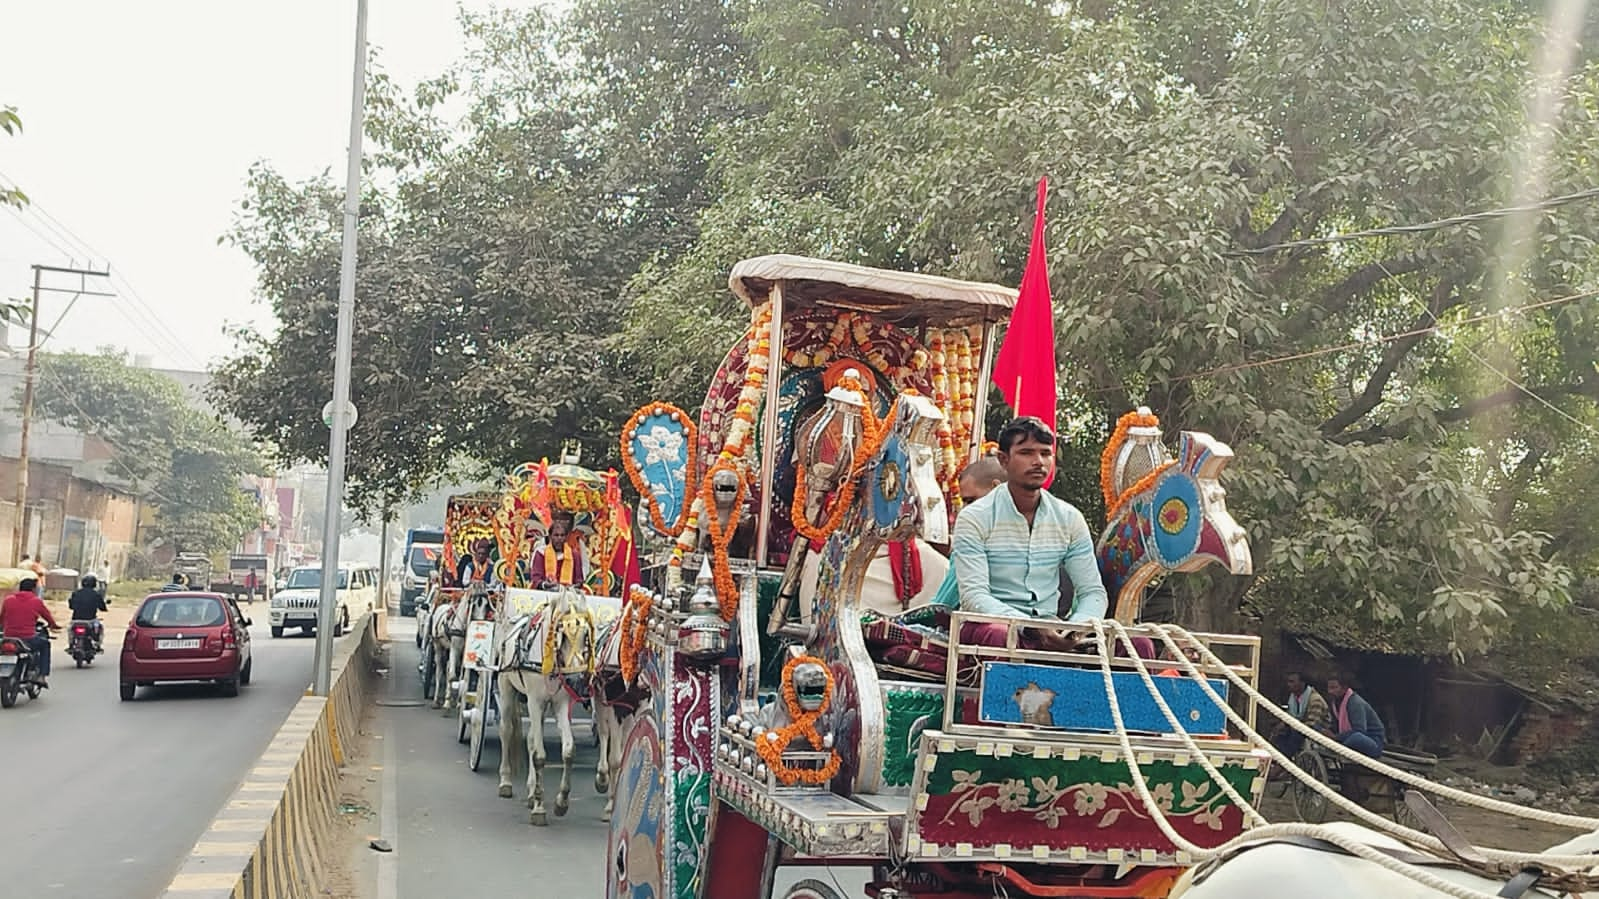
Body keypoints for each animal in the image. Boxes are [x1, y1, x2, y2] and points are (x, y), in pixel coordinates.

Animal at [492, 585, 601, 825]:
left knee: (532, 740)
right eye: (562, 634)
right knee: (506, 730)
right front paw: (539, 808)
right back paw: (505, 781)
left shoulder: (560, 704)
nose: (577, 679)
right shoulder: (534, 701)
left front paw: (561, 802)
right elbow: (539, 756)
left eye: (586, 636)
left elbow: (567, 750)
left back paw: (531, 792)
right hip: (505, 684)